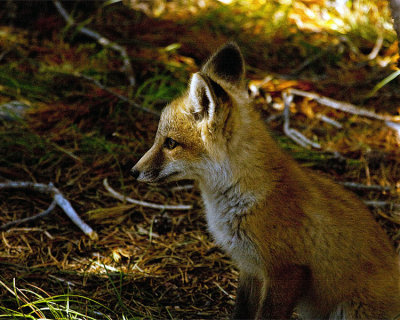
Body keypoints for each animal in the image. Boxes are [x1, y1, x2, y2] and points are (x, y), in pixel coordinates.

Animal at [130, 43, 400, 320]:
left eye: (170, 143)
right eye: (160, 139)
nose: (133, 171)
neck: (242, 200)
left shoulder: (286, 271)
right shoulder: (250, 268)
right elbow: (241, 312)